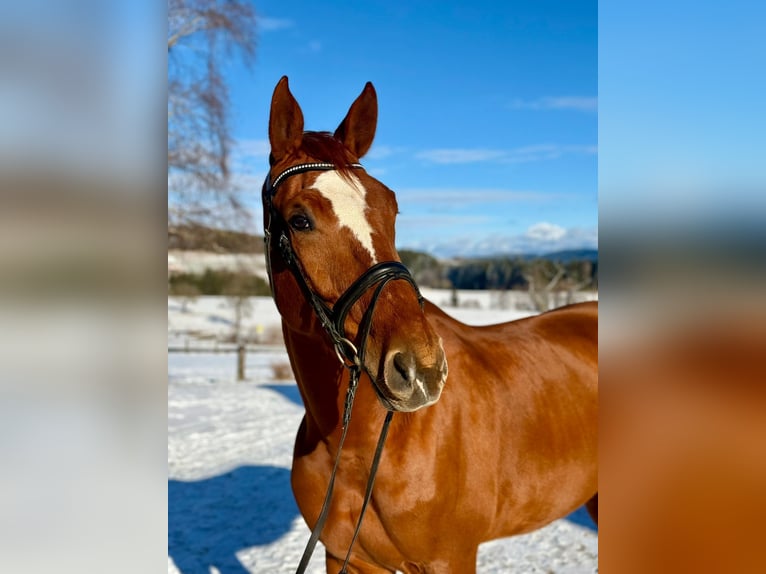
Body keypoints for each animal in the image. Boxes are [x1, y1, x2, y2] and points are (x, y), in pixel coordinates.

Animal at [262, 76, 598, 573]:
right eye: (300, 220)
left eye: (392, 207)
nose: (421, 368)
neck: (358, 446)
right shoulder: (344, 557)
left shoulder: (449, 559)